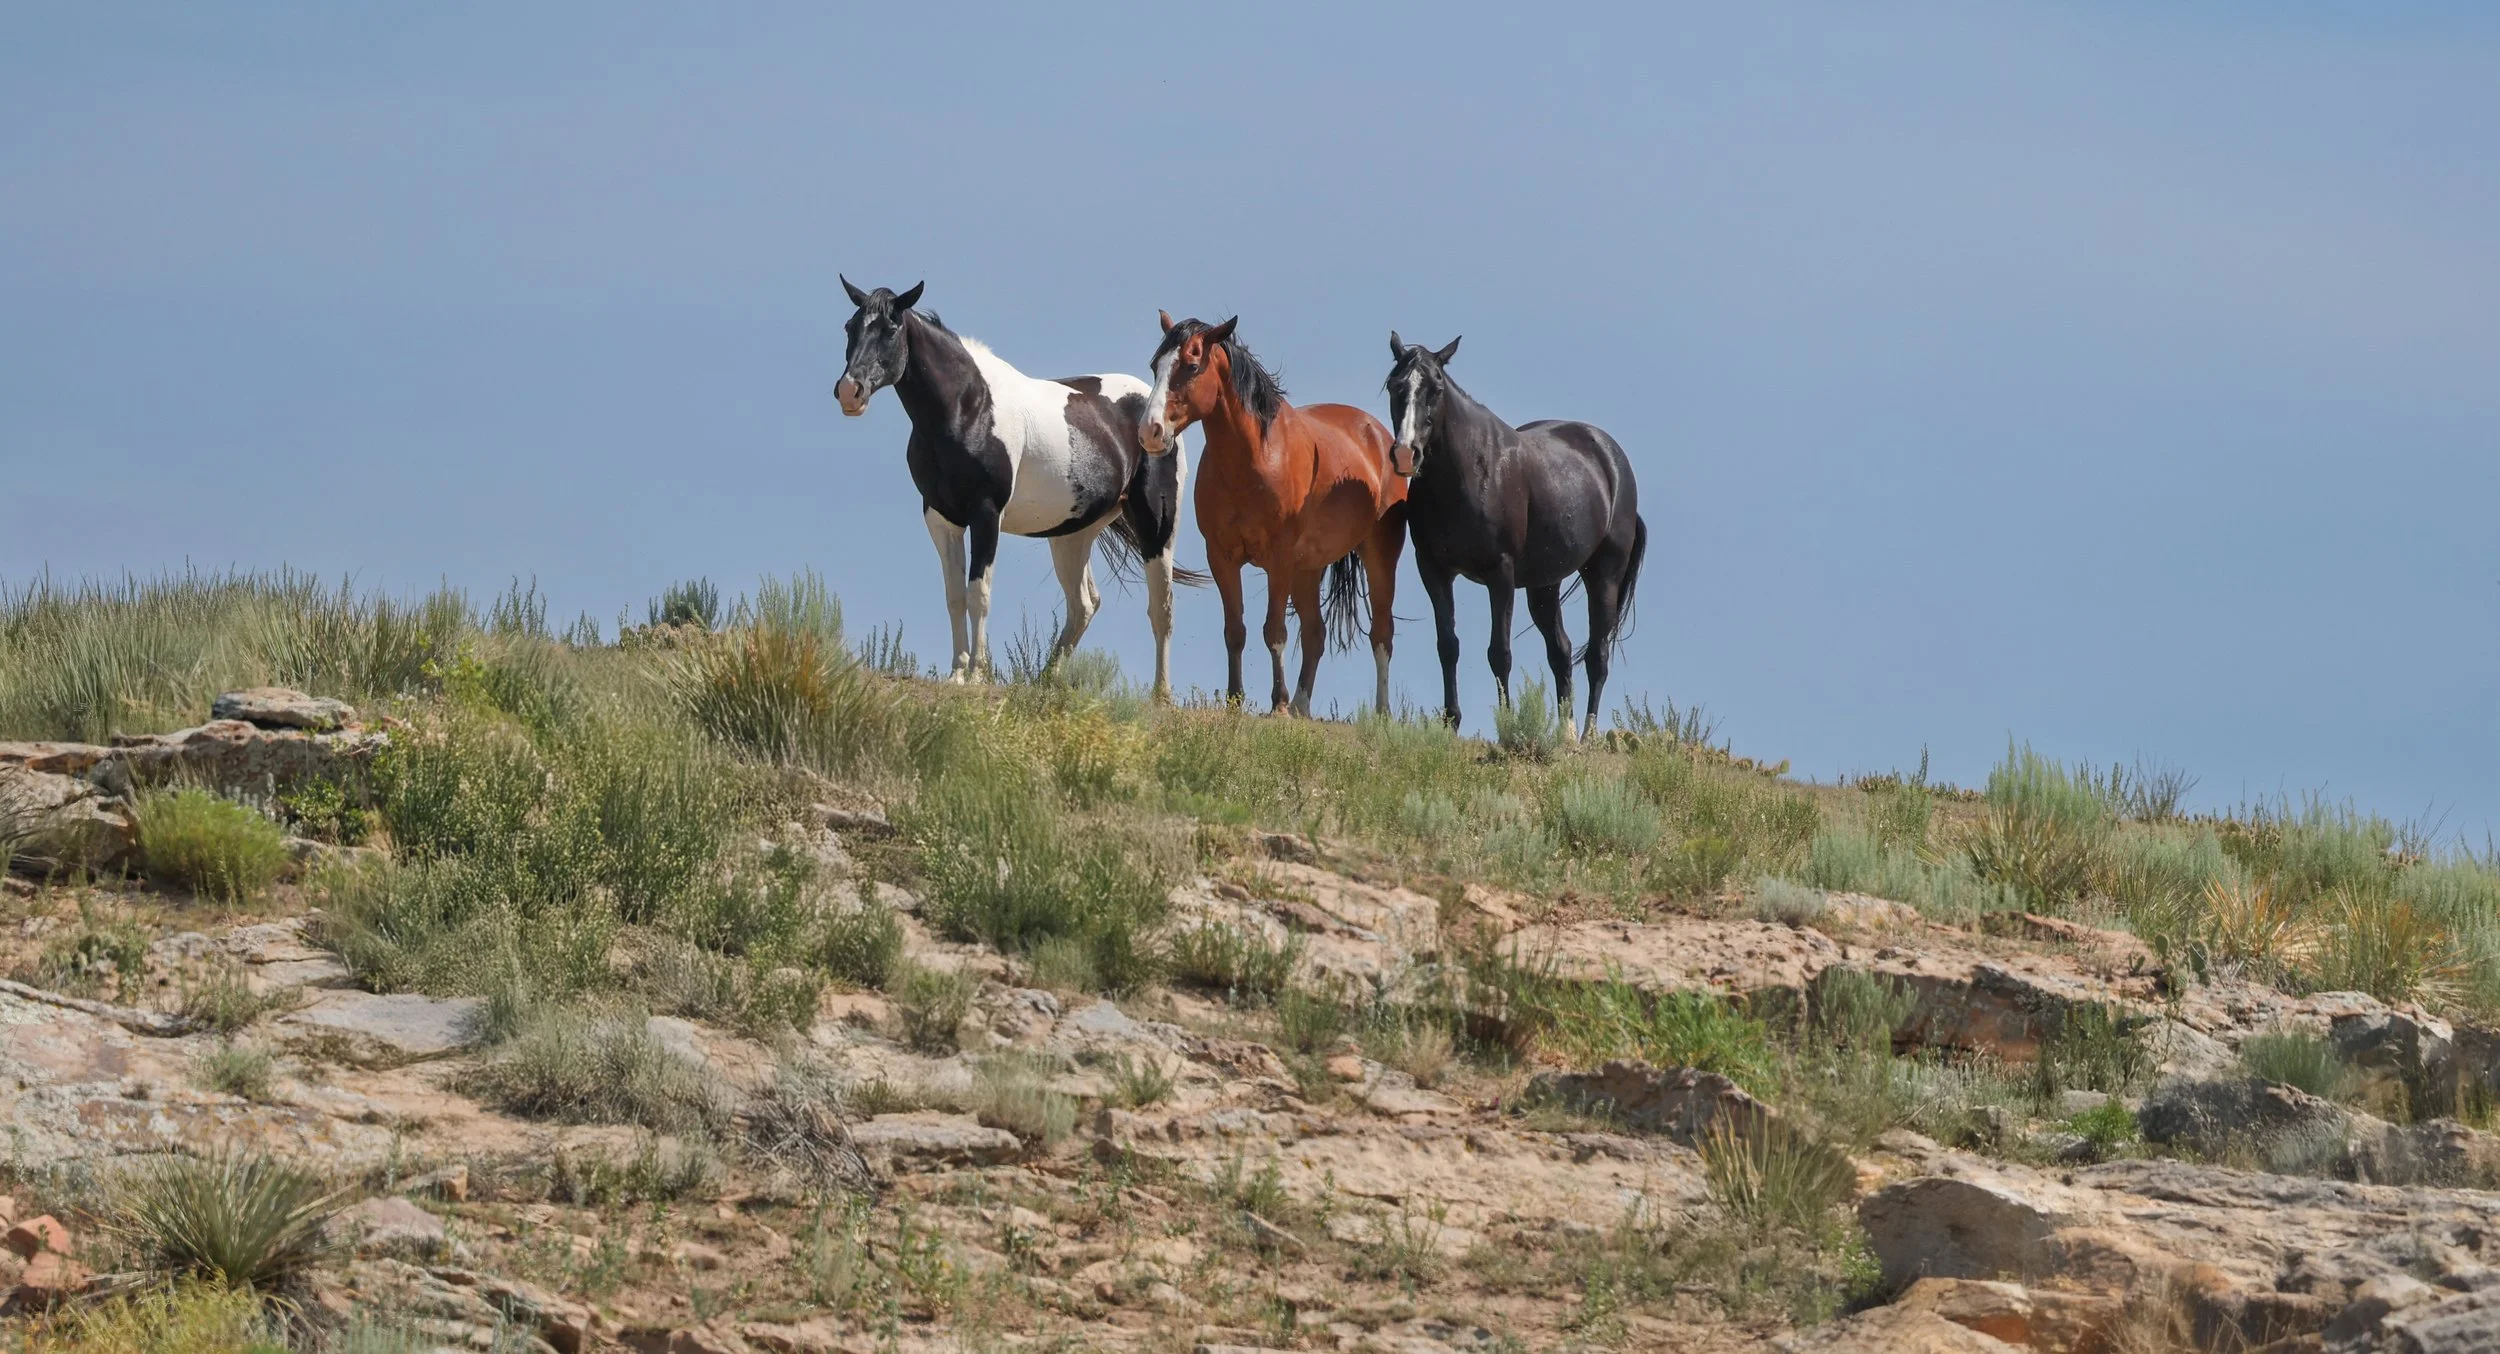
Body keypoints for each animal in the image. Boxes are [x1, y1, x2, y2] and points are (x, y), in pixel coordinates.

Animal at [835, 278, 1189, 697]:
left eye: (890, 329)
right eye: (850, 327)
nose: (849, 391)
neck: (969, 408)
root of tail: (1156, 414)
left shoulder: (986, 515)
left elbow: (979, 593)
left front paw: (977, 673)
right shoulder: (942, 519)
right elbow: (954, 596)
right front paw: (958, 672)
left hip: (1157, 526)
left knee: (1161, 607)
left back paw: (1160, 696)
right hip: (1072, 536)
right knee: (1083, 605)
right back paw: (1046, 681)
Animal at [1139, 313, 1408, 716]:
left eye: (1190, 365)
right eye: (1155, 365)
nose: (1150, 431)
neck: (1255, 461)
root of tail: (1376, 434)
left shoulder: (1279, 559)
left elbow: (1274, 631)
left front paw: (1277, 704)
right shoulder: (1222, 557)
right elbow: (1235, 631)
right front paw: (1235, 700)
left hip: (1379, 557)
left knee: (1382, 634)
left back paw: (1380, 713)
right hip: (1308, 569)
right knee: (1315, 634)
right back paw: (1301, 706)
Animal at [1384, 332, 1647, 741]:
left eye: (1435, 389)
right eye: (1395, 385)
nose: (1404, 454)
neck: (1467, 471)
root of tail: (1612, 458)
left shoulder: (1500, 574)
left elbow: (1499, 652)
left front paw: (1507, 727)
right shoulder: (1434, 570)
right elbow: (1448, 645)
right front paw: (1450, 722)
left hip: (1604, 576)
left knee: (1597, 656)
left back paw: (1587, 734)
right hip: (1544, 585)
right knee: (1561, 651)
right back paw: (1566, 734)